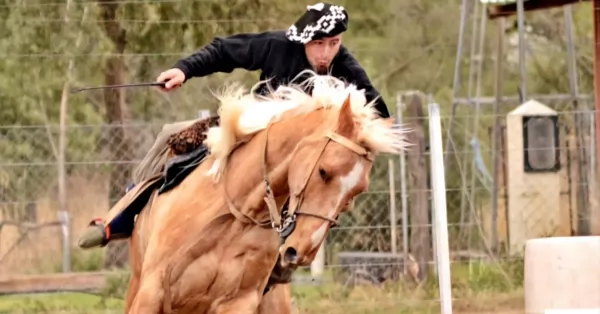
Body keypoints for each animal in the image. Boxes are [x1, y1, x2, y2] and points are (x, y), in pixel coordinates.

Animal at [124, 73, 410, 312]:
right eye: (323, 171)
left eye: (356, 193)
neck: (238, 214)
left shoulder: (239, 301)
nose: (301, 252)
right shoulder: (152, 292)